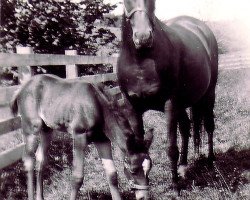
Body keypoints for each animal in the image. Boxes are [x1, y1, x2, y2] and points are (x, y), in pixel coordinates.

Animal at [9, 74, 153, 200]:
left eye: (149, 167)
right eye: (133, 170)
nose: (143, 197)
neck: (97, 105)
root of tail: (21, 88)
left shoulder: (102, 139)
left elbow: (112, 174)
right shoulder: (79, 136)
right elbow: (77, 177)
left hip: (47, 130)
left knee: (41, 159)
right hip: (31, 127)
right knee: (28, 159)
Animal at [117, 0, 217, 194]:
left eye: (152, 2)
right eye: (125, 2)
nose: (143, 38)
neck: (141, 62)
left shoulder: (169, 104)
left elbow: (171, 148)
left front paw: (175, 187)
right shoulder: (132, 107)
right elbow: (140, 151)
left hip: (208, 94)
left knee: (209, 126)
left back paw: (210, 162)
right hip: (182, 105)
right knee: (186, 128)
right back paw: (183, 167)